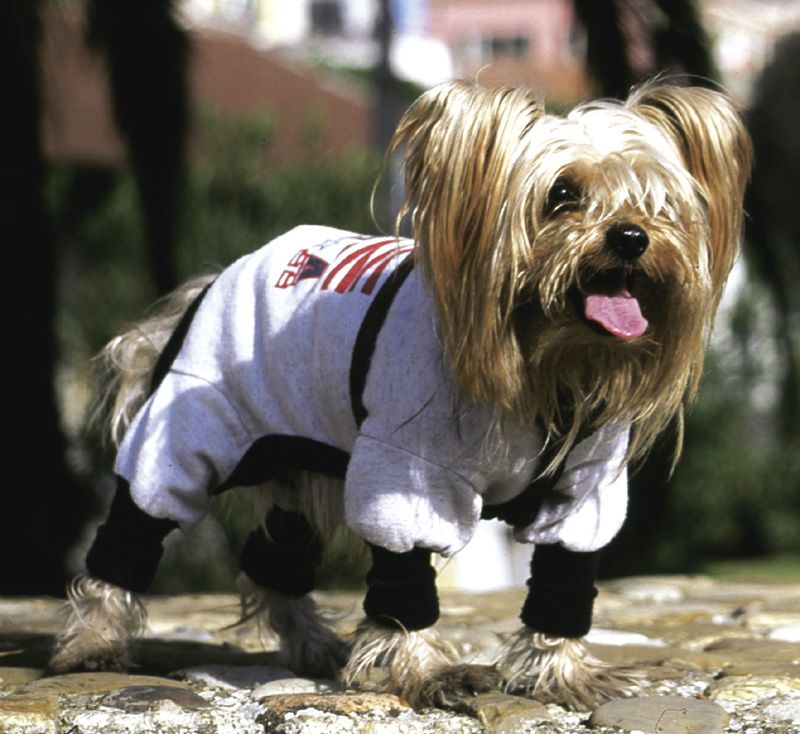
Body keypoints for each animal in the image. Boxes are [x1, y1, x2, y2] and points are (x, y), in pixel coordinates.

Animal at [50, 80, 752, 712]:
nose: (632, 238)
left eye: (660, 203)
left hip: (301, 456)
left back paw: (314, 647)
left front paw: (562, 673)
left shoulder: (586, 492)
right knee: (137, 522)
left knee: (276, 556)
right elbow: (404, 576)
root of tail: (217, 277)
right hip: (197, 425)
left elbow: (564, 578)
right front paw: (427, 672)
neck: (546, 364)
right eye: (562, 195)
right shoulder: (407, 473)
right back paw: (91, 643)